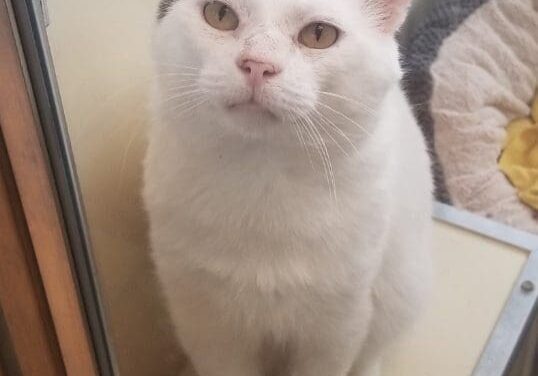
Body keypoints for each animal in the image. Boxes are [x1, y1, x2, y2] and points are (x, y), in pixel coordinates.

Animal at [142, 0, 432, 376]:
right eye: (219, 14)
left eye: (319, 34)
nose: (257, 64)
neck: (263, 177)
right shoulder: (205, 322)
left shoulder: (338, 325)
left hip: (400, 291)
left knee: (371, 353)